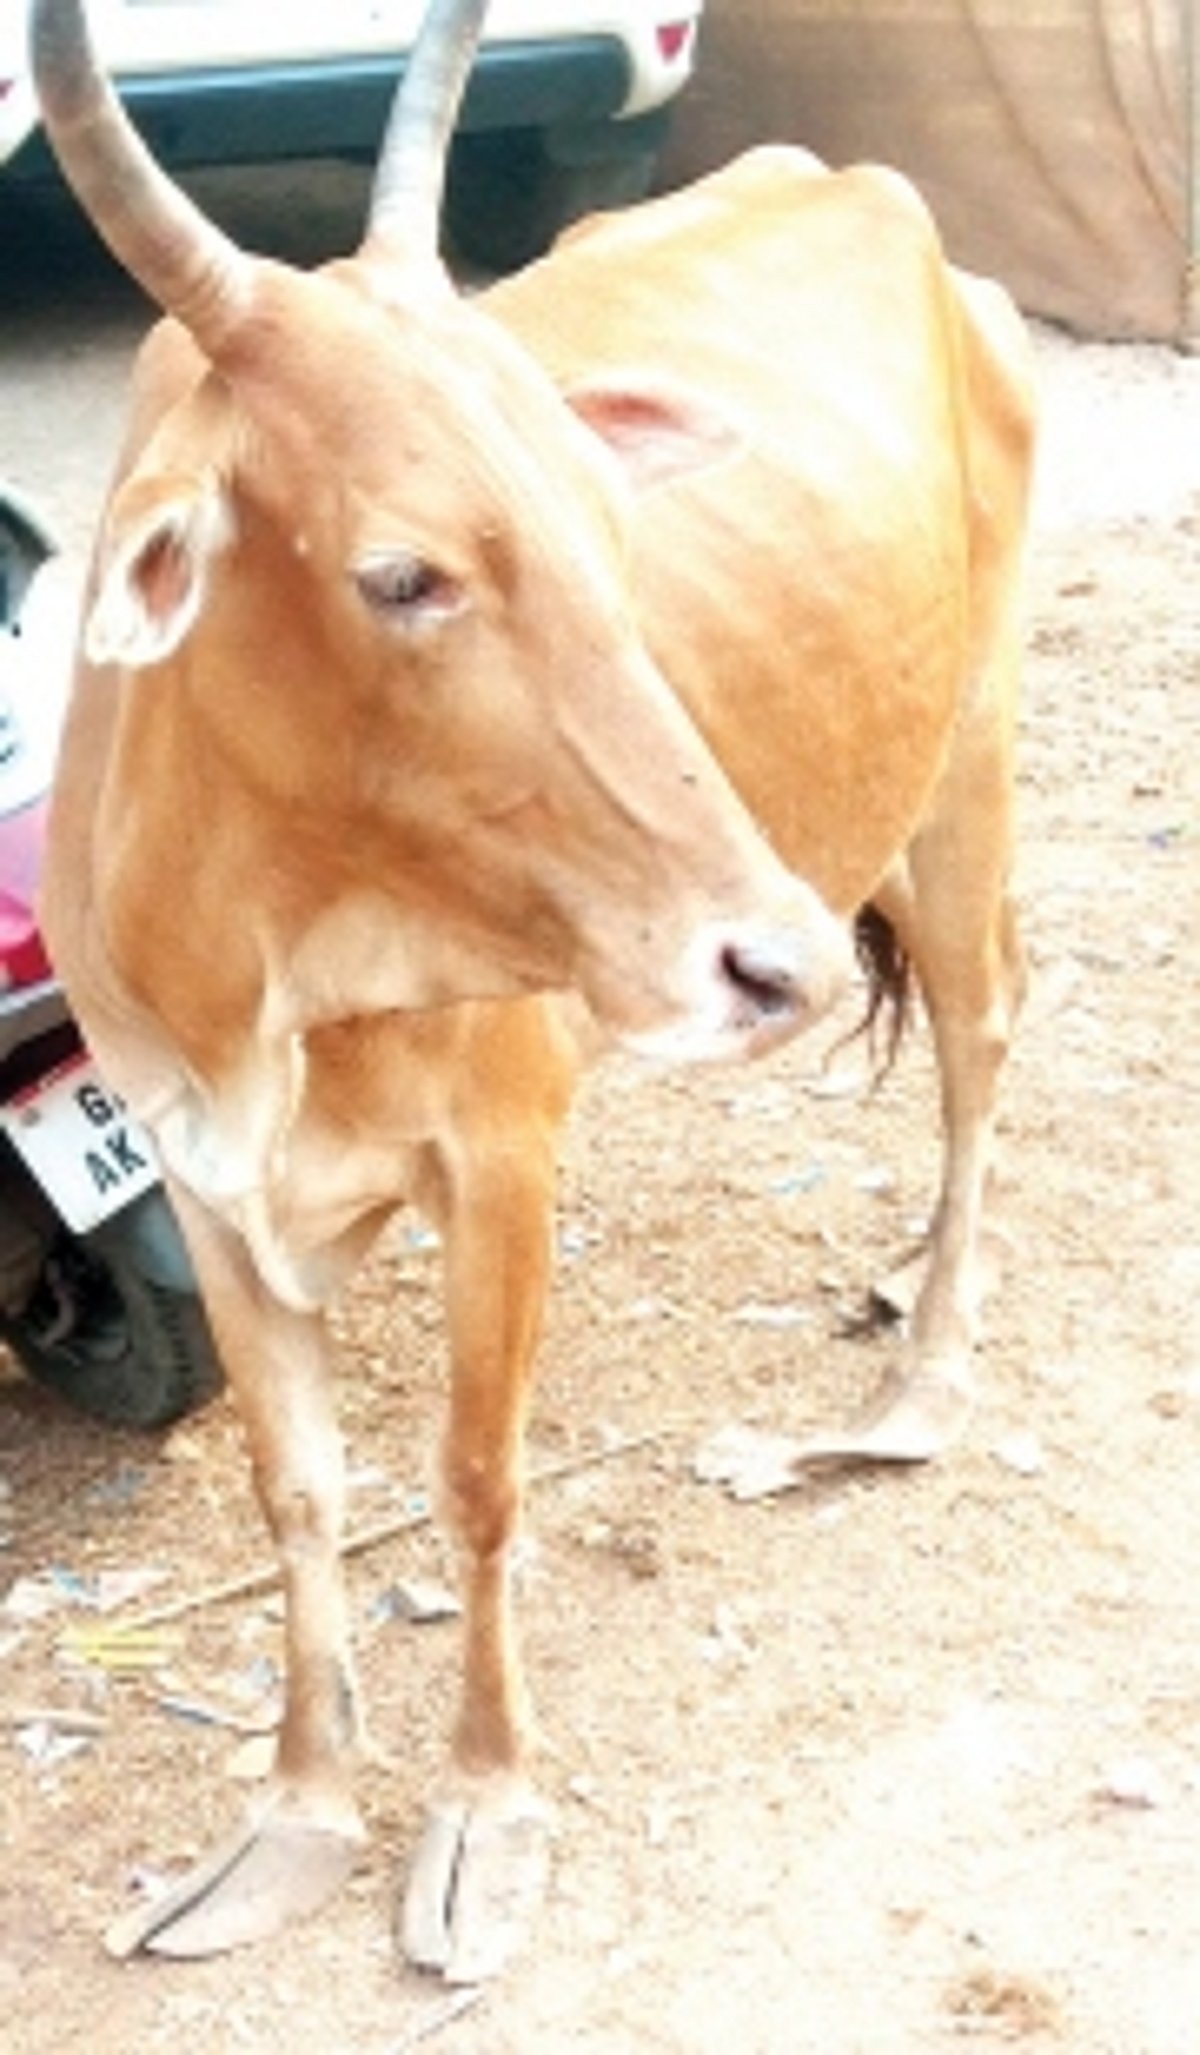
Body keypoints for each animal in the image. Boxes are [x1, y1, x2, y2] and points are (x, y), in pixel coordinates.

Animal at [31, 0, 1034, 1989]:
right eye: (401, 572)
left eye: (600, 518)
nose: (772, 957)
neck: (268, 959)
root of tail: (866, 193)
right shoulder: (201, 1175)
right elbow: (298, 1491)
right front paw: (294, 1814)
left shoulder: (499, 1157)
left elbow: (478, 1478)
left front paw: (483, 1818)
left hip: (961, 768)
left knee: (978, 1040)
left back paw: (921, 1377)